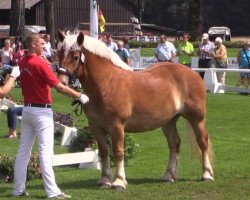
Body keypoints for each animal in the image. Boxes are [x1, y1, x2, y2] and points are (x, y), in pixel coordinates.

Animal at [57, 30, 214, 190]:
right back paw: (169, 176)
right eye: (59, 53)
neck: (107, 83)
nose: (61, 82)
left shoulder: (117, 125)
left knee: (203, 141)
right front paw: (105, 180)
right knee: (174, 144)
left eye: (75, 57)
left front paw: (119, 181)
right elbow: (104, 152)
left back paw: (207, 174)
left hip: (197, 119)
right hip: (169, 122)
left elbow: (118, 152)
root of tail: (192, 73)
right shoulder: (95, 127)